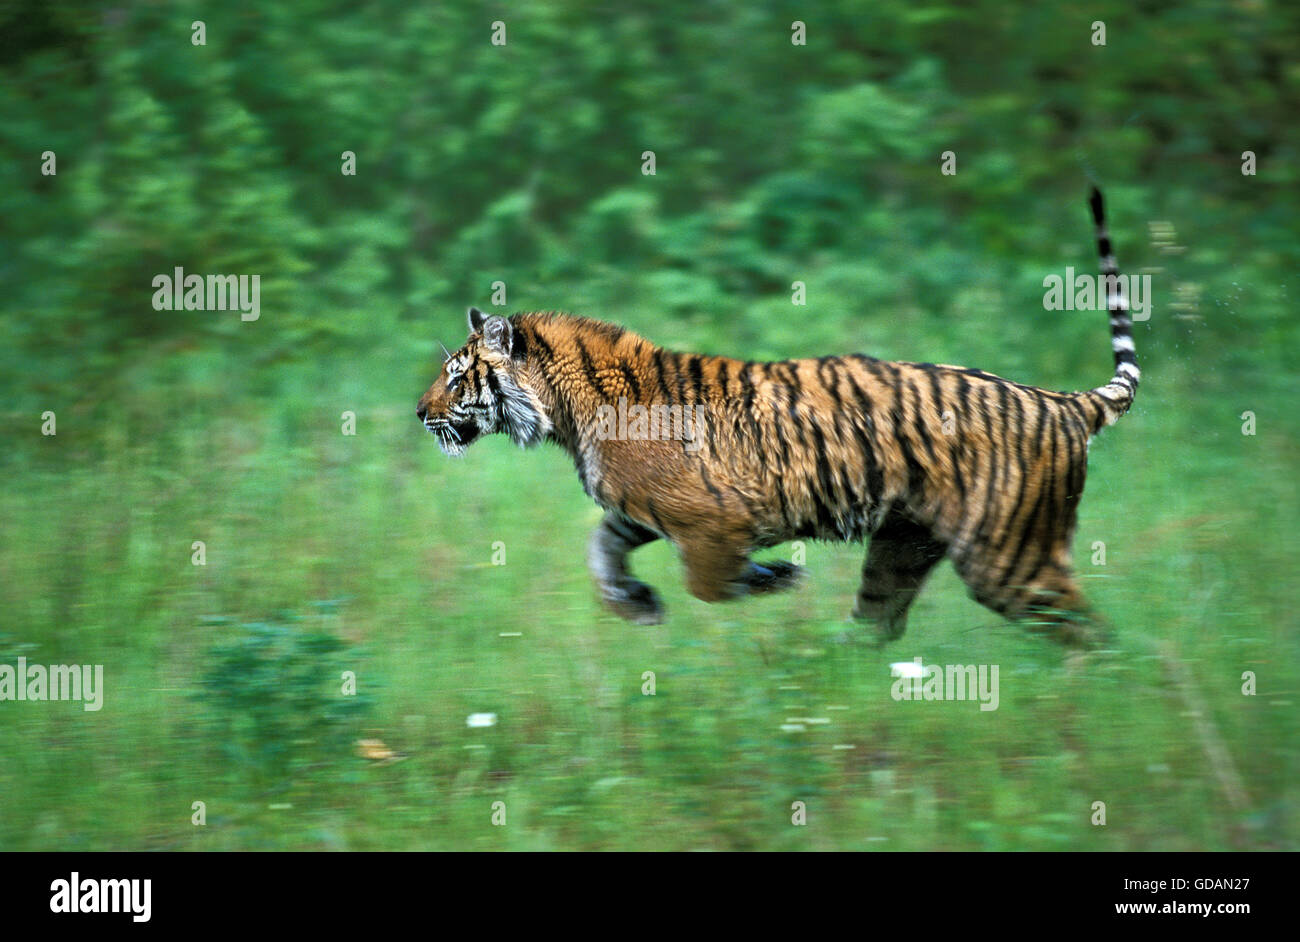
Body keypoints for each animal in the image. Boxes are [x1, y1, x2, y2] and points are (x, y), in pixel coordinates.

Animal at [417, 189, 1139, 647]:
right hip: (903, 543)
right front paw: (636, 605)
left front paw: (772, 578)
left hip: (1008, 554)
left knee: (1094, 636)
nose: (419, 412)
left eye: (456, 376)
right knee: (878, 622)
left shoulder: (713, 517)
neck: (566, 411)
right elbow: (601, 549)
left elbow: (709, 584)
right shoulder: (639, 511)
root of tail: (1063, 401)